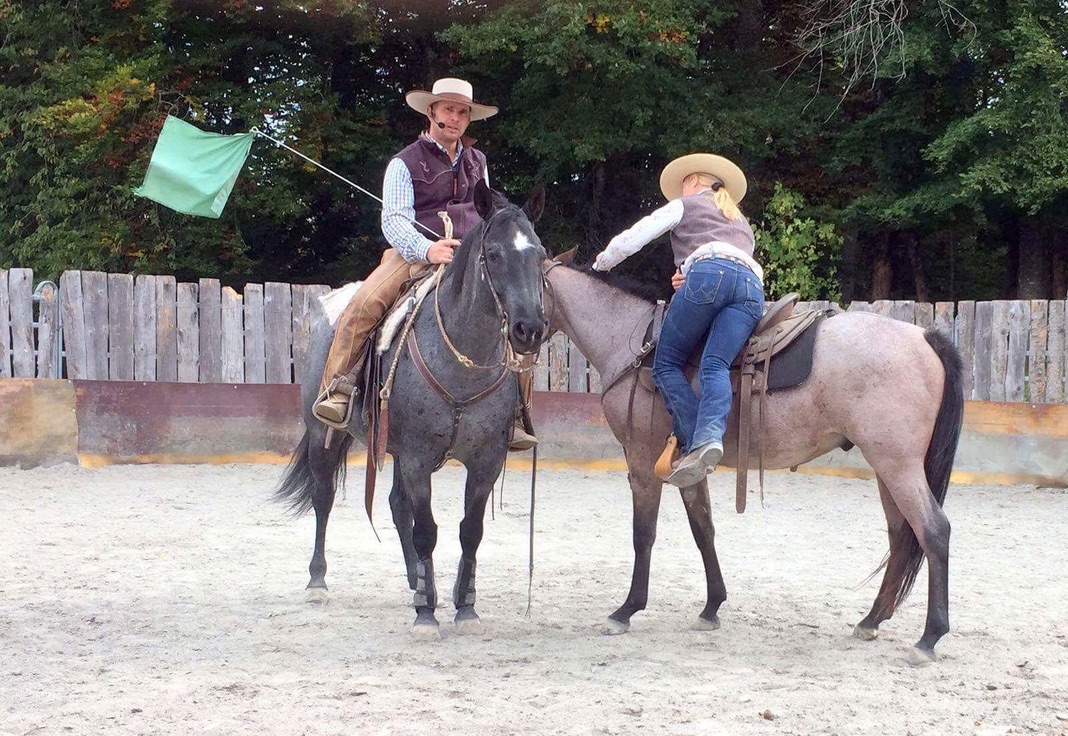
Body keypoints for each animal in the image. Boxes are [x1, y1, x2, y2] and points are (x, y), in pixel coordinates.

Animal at [275, 182, 546, 636]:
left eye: (540, 255)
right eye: (493, 254)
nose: (530, 329)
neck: (461, 363)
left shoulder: (485, 460)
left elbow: (469, 531)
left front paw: (464, 606)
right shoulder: (418, 458)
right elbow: (427, 532)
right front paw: (426, 615)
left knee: (397, 506)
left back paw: (417, 580)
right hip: (323, 434)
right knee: (324, 498)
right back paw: (318, 583)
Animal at [546, 261, 965, 662]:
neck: (634, 344)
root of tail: (924, 337)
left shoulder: (641, 461)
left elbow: (643, 535)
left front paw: (626, 611)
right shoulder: (687, 468)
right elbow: (704, 530)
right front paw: (712, 607)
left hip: (898, 466)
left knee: (933, 531)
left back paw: (929, 638)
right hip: (887, 468)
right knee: (900, 535)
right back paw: (871, 620)